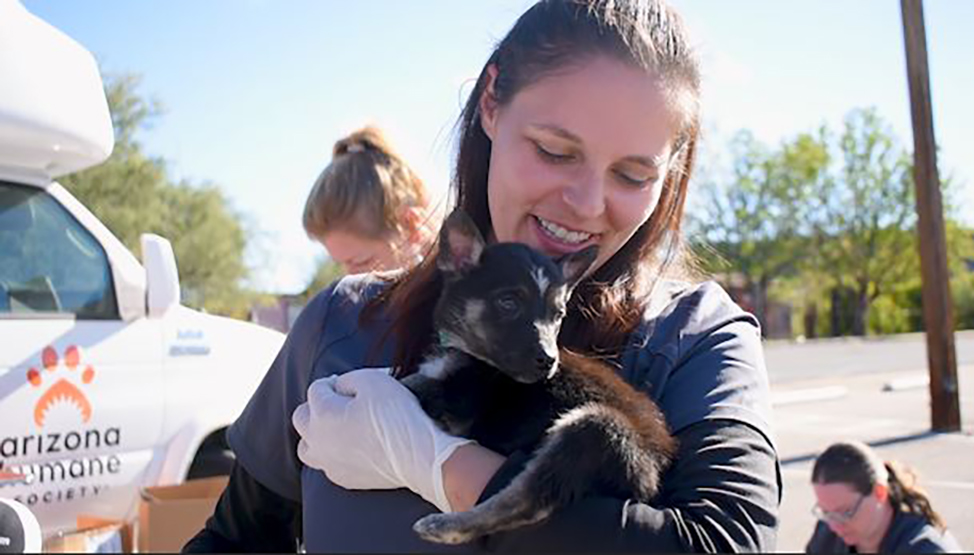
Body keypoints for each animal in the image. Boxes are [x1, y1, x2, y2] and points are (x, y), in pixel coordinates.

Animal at [404, 211, 680, 544]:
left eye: (558, 315)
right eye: (508, 303)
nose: (549, 361)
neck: (466, 348)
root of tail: (656, 469)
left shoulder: (460, 407)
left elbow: (411, 383)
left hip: (596, 430)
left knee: (523, 501)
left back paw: (444, 526)